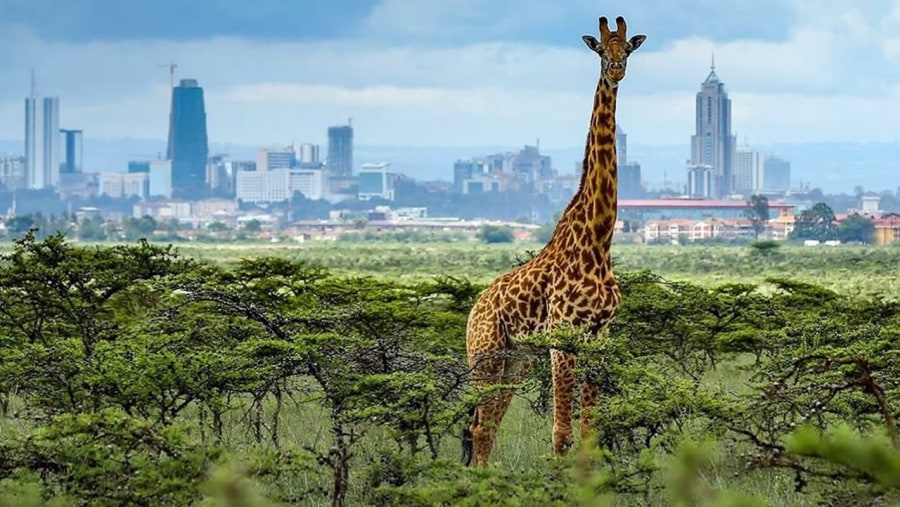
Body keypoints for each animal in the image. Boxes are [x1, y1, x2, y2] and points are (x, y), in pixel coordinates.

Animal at [464, 15, 648, 468]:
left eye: (628, 48)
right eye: (600, 48)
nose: (616, 70)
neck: (598, 239)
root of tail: (473, 309)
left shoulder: (598, 337)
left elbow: (588, 433)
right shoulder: (562, 336)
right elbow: (561, 434)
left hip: (516, 359)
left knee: (488, 424)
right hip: (486, 355)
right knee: (478, 425)